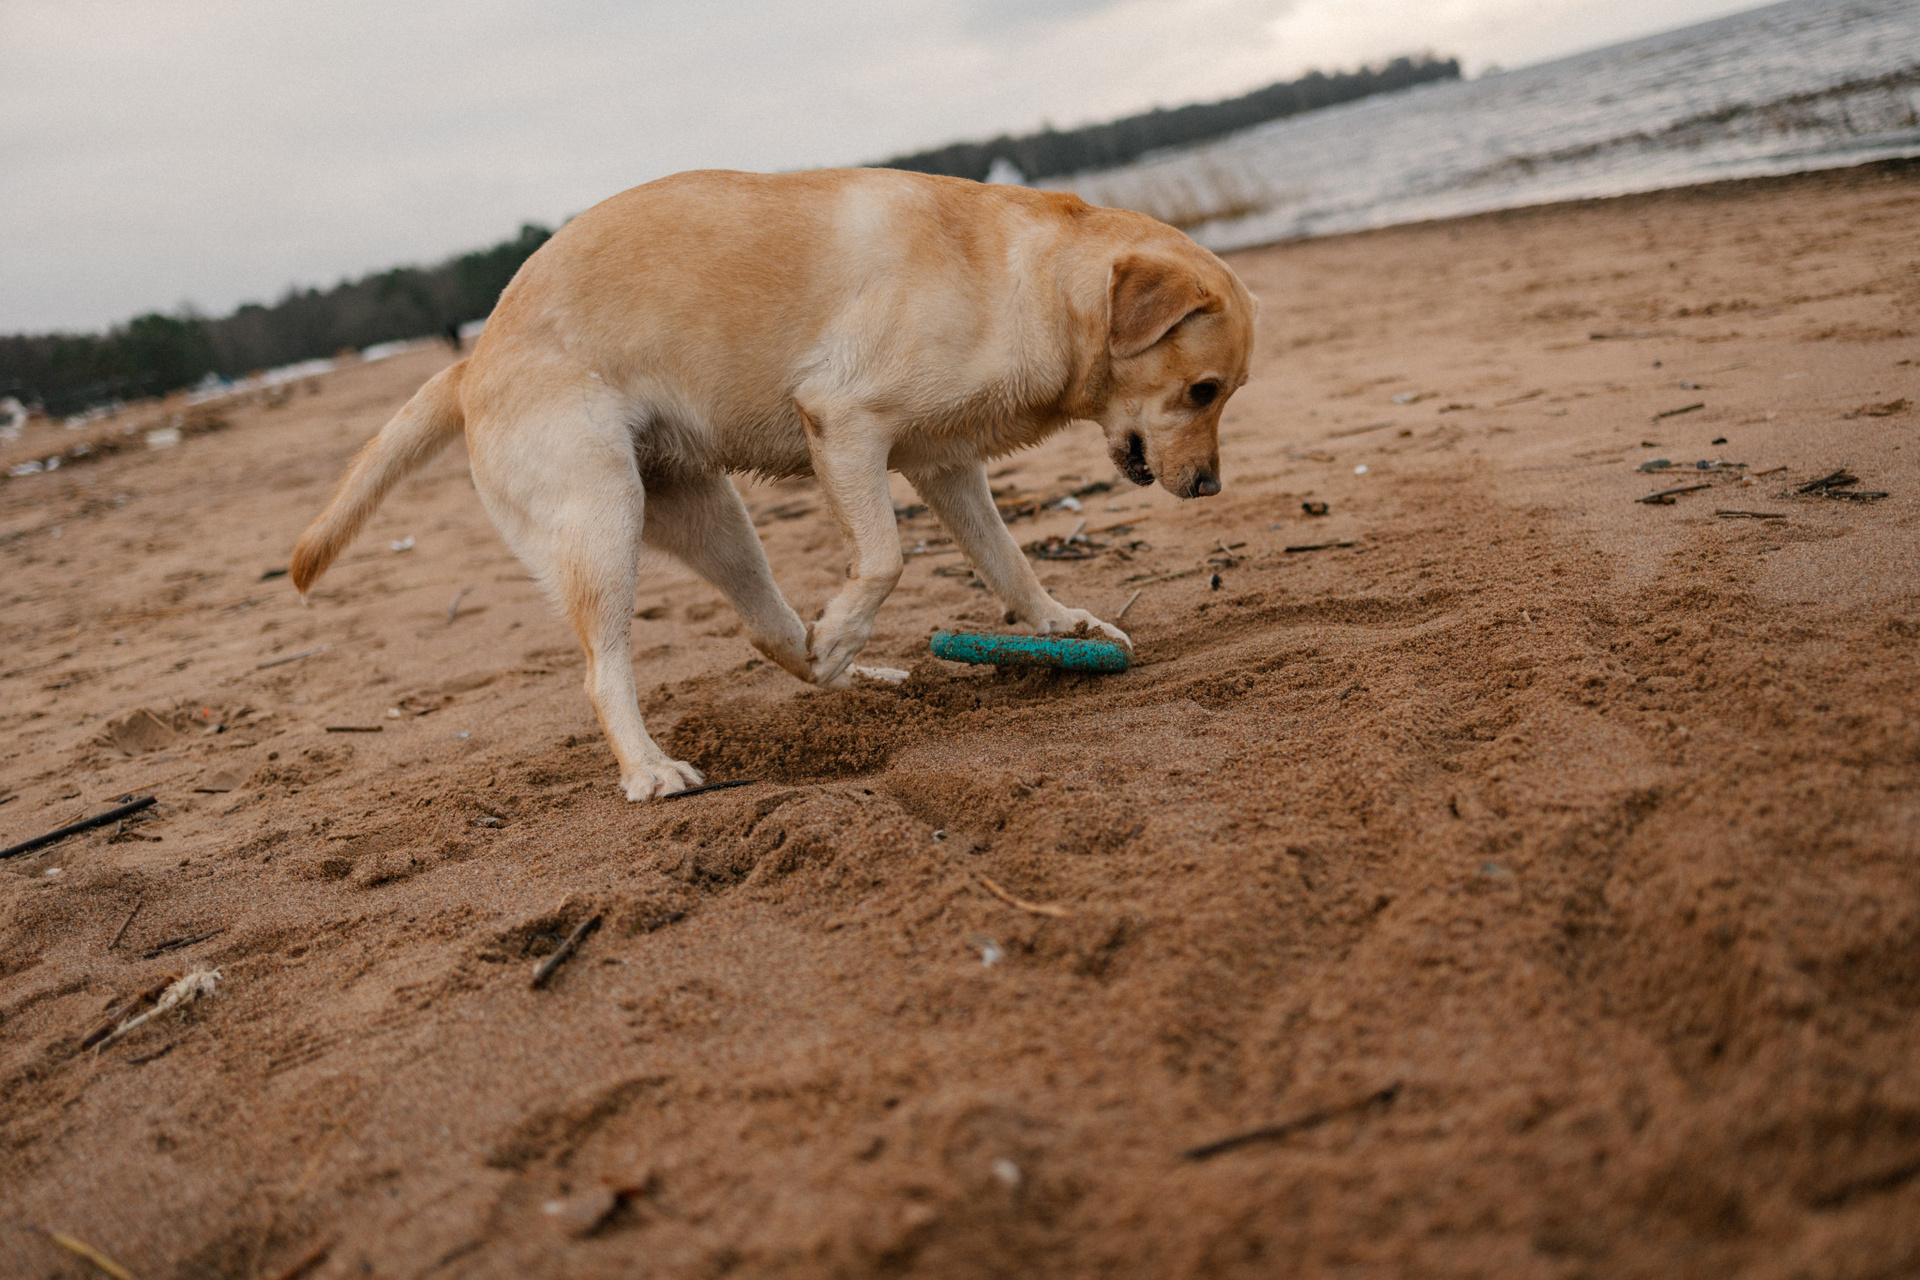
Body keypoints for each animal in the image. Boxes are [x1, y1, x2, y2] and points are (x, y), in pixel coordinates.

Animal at [290, 168, 1256, 800]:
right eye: (1203, 391)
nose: (1210, 488)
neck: (1033, 281)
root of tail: (472, 359)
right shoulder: (847, 424)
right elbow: (886, 558)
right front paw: (855, 620)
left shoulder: (943, 464)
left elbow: (1010, 565)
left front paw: (1062, 627)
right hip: (604, 519)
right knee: (605, 673)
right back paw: (653, 767)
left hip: (708, 512)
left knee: (765, 628)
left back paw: (850, 669)